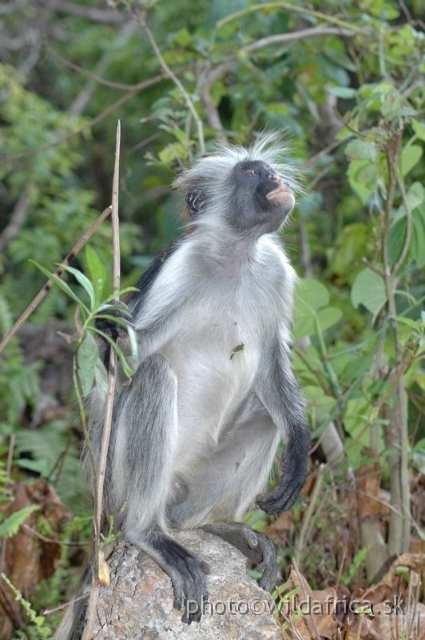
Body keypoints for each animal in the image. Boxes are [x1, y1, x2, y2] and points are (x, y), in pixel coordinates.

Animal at [58, 134, 310, 636]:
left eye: (263, 169)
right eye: (250, 172)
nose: (274, 177)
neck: (236, 257)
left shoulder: (275, 269)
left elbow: (272, 364)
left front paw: (300, 445)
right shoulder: (180, 267)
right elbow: (116, 373)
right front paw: (109, 324)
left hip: (197, 486)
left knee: (265, 418)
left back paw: (220, 525)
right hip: (118, 487)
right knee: (154, 375)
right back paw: (147, 532)